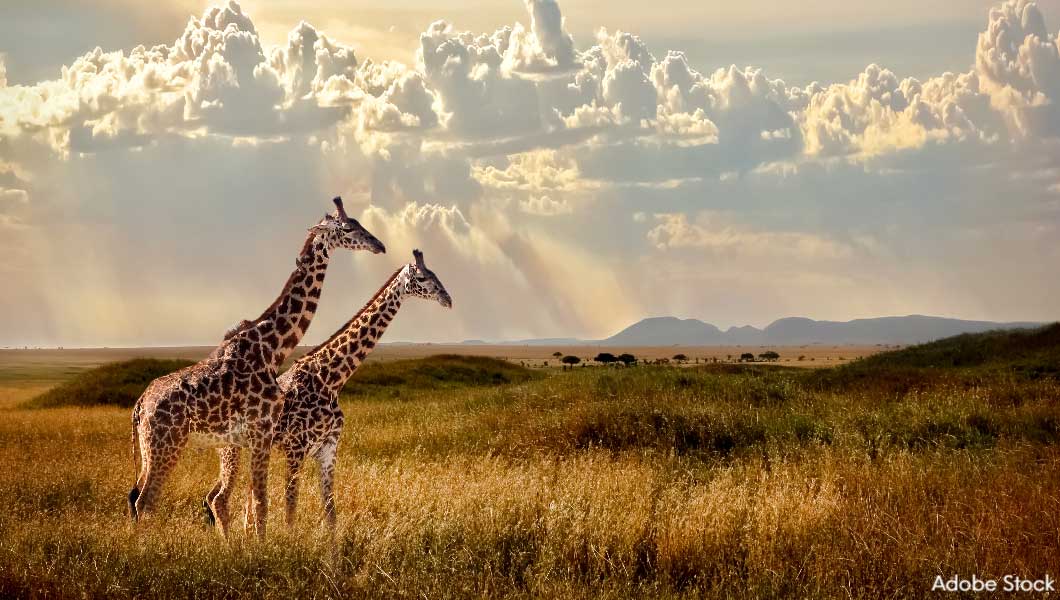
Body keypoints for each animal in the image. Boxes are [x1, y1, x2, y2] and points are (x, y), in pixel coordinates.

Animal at [128, 198, 385, 540]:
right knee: (146, 501)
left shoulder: (256, 437)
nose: (379, 245)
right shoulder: (262, 431)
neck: (271, 349)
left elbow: (257, 501)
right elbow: (261, 502)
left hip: (151, 450)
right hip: (165, 446)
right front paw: (264, 548)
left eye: (357, 223)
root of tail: (140, 405)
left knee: (140, 498)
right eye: (347, 228)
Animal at [206, 251, 451, 534]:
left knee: (228, 497)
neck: (331, 379)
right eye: (422, 278)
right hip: (230, 449)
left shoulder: (329, 447)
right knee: (220, 498)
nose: (448, 299)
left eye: (435, 273)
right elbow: (291, 507)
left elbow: (331, 511)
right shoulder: (296, 447)